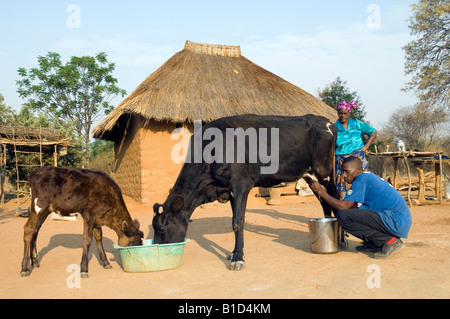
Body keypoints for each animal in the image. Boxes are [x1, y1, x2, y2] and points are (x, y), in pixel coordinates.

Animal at [153, 114, 336, 272]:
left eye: (162, 227)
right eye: (154, 226)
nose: (158, 249)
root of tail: (324, 120)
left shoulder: (241, 185)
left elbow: (237, 222)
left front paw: (238, 258)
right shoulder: (229, 191)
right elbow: (235, 220)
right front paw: (233, 253)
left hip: (325, 172)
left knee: (333, 197)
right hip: (310, 175)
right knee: (325, 202)